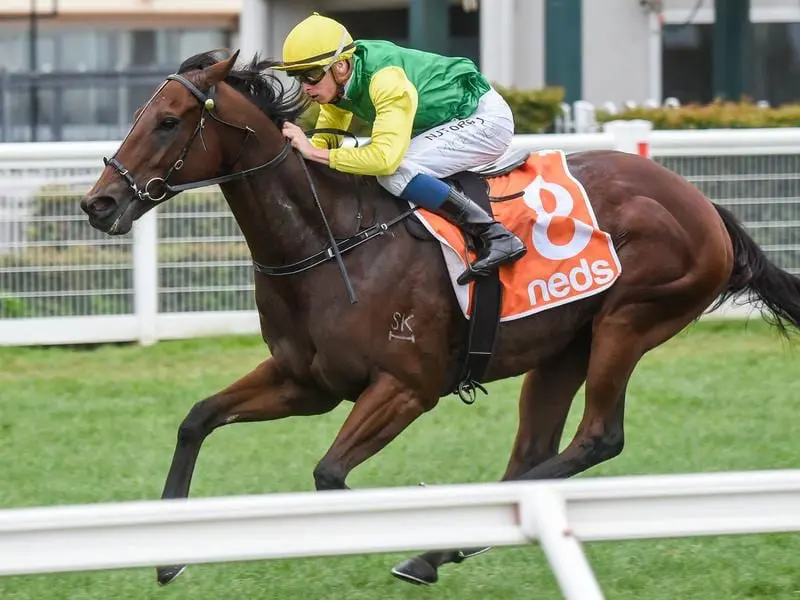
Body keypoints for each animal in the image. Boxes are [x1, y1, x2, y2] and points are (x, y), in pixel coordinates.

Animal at [79, 50, 800, 584]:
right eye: (143, 113)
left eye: (169, 121)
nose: (99, 203)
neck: (332, 239)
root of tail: (704, 205)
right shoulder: (305, 382)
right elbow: (197, 418)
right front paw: (167, 555)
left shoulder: (407, 386)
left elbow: (329, 474)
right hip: (564, 344)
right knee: (535, 453)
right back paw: (446, 549)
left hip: (629, 320)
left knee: (599, 437)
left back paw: (436, 549)